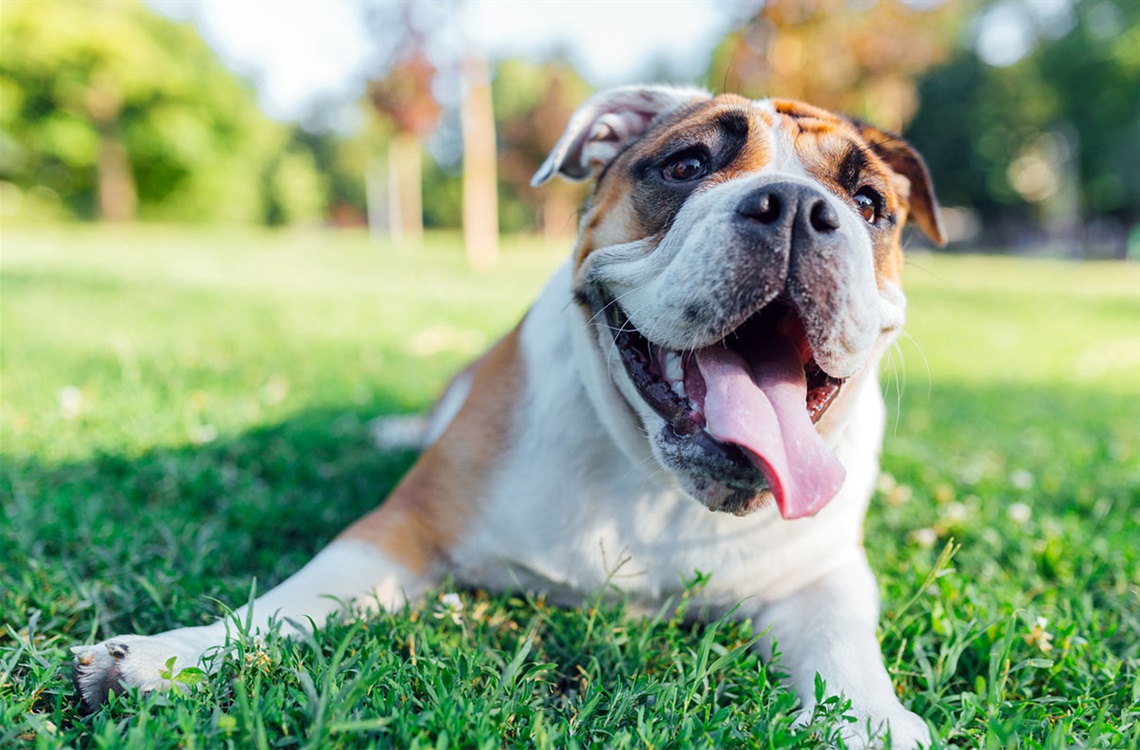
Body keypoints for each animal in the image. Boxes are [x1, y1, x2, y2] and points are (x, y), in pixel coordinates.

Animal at [68, 86, 943, 743]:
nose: (796, 205)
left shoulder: (821, 571)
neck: (651, 480)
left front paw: (870, 723)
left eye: (869, 203)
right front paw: (171, 656)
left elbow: (843, 639)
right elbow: (290, 602)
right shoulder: (403, 529)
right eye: (687, 164)